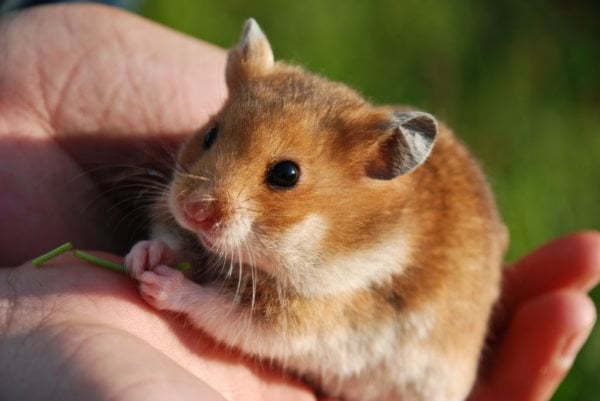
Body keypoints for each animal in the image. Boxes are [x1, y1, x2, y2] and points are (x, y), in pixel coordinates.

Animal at [125, 18, 506, 400]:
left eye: (286, 174)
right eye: (209, 134)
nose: (193, 211)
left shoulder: (298, 318)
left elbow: (213, 307)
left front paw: (158, 283)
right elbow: (172, 241)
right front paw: (140, 259)